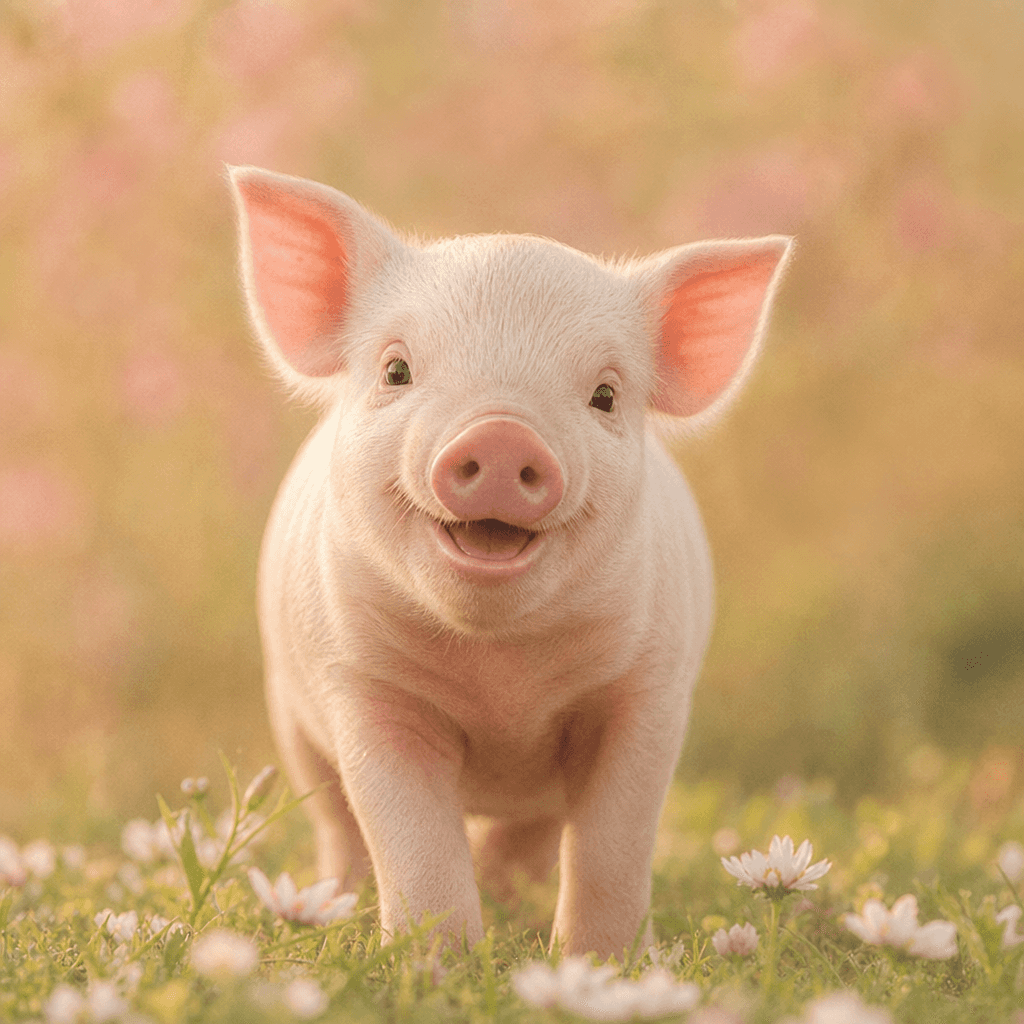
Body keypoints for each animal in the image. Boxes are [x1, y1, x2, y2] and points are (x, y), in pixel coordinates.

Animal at [227, 165, 792, 958]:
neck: (502, 687)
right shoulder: (362, 686)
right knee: (336, 820)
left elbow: (614, 844)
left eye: (605, 395)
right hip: (289, 712)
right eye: (396, 370)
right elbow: (411, 840)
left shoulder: (649, 691)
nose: (501, 435)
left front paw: (601, 963)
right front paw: (438, 965)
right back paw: (336, 904)